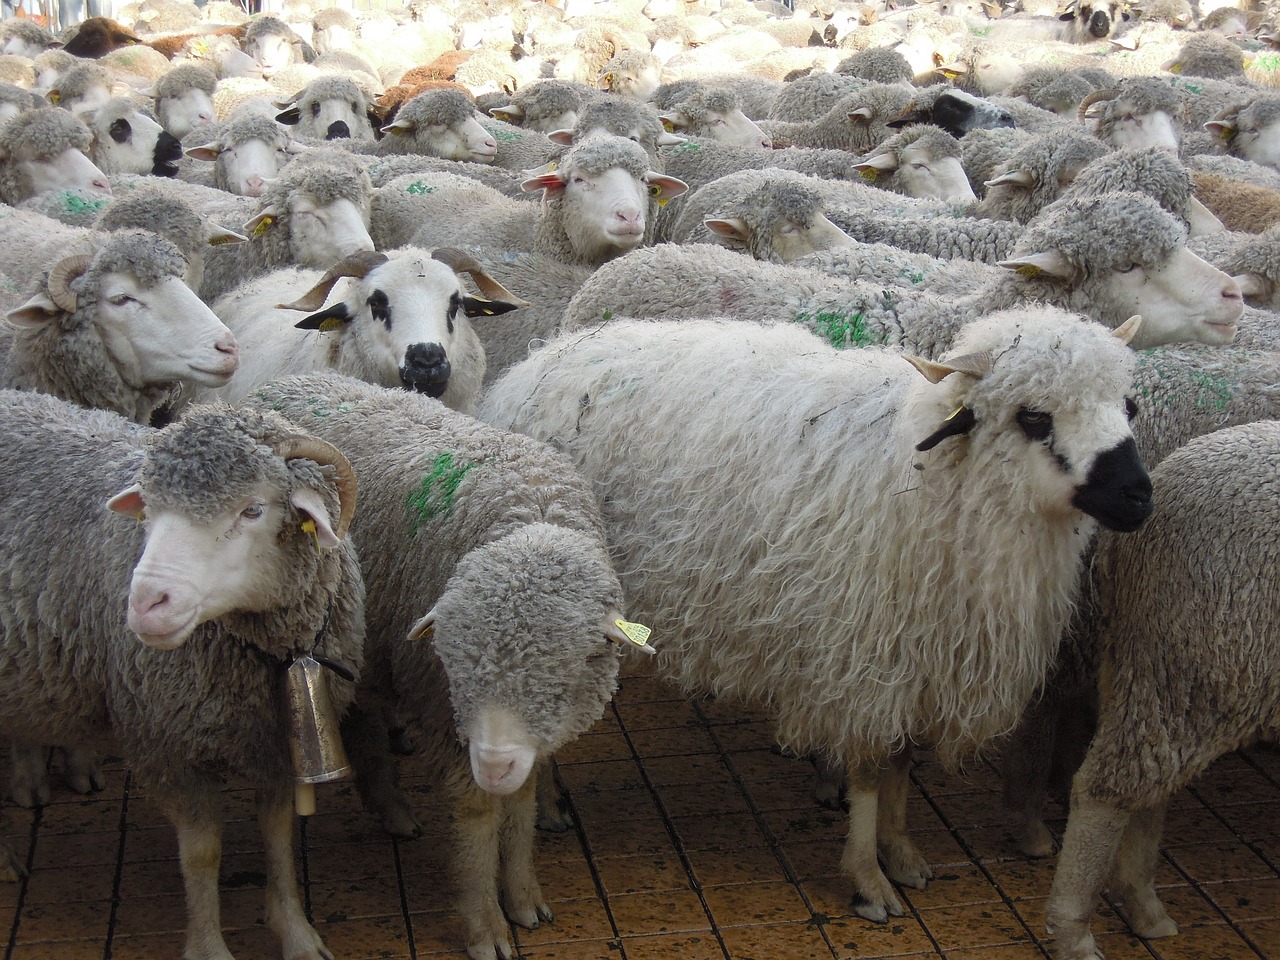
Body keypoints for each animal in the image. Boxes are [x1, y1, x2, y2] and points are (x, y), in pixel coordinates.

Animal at [0, 392, 362, 960]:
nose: (145, 603)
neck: (263, 650)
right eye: (147, 509)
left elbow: (278, 834)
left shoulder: (274, 740)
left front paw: (295, 931)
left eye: (253, 509)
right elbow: (202, 853)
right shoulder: (166, 744)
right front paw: (209, 946)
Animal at [245, 373, 643, 960]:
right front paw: (486, 926)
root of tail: (277, 382)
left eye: (559, 682)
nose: (494, 764)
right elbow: (477, 818)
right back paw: (392, 807)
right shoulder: (440, 707)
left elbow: (521, 802)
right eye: (455, 671)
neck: (531, 516)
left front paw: (523, 895)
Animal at [478, 306, 1152, 923]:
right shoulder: (862, 655)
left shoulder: (913, 655)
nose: (1138, 496)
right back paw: (545, 812)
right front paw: (869, 880)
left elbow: (901, 764)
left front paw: (902, 854)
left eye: (1129, 404)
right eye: (1033, 416)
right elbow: (870, 772)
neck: (925, 479)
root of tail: (537, 362)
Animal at [1045, 420, 1280, 960]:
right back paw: (1075, 930)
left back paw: (1142, 906)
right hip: (1199, 661)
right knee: (1110, 788)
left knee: (1149, 781)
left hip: (1145, 662)